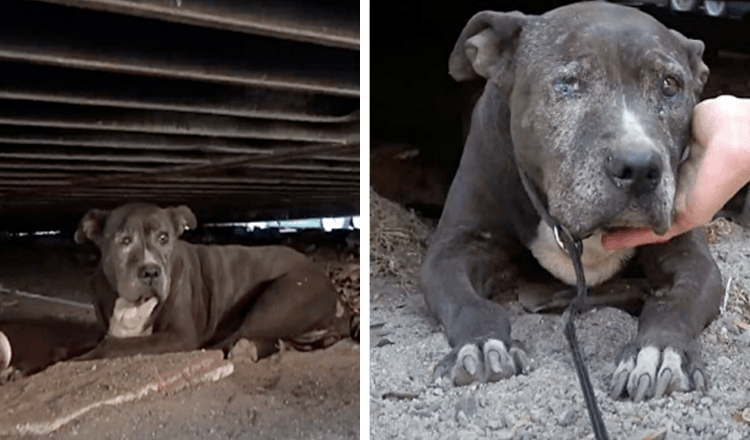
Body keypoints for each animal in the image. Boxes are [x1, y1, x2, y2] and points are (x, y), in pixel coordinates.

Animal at [73, 203, 352, 360]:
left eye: (164, 237)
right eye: (124, 241)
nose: (151, 271)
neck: (132, 305)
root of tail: (339, 300)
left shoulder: (179, 335)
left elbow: (113, 347)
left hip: (280, 298)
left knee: (236, 337)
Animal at [420, 1, 724, 402]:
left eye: (670, 85)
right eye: (567, 84)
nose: (639, 167)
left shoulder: (688, 254)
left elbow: (677, 301)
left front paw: (659, 352)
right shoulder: (455, 247)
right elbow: (467, 302)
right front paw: (484, 343)